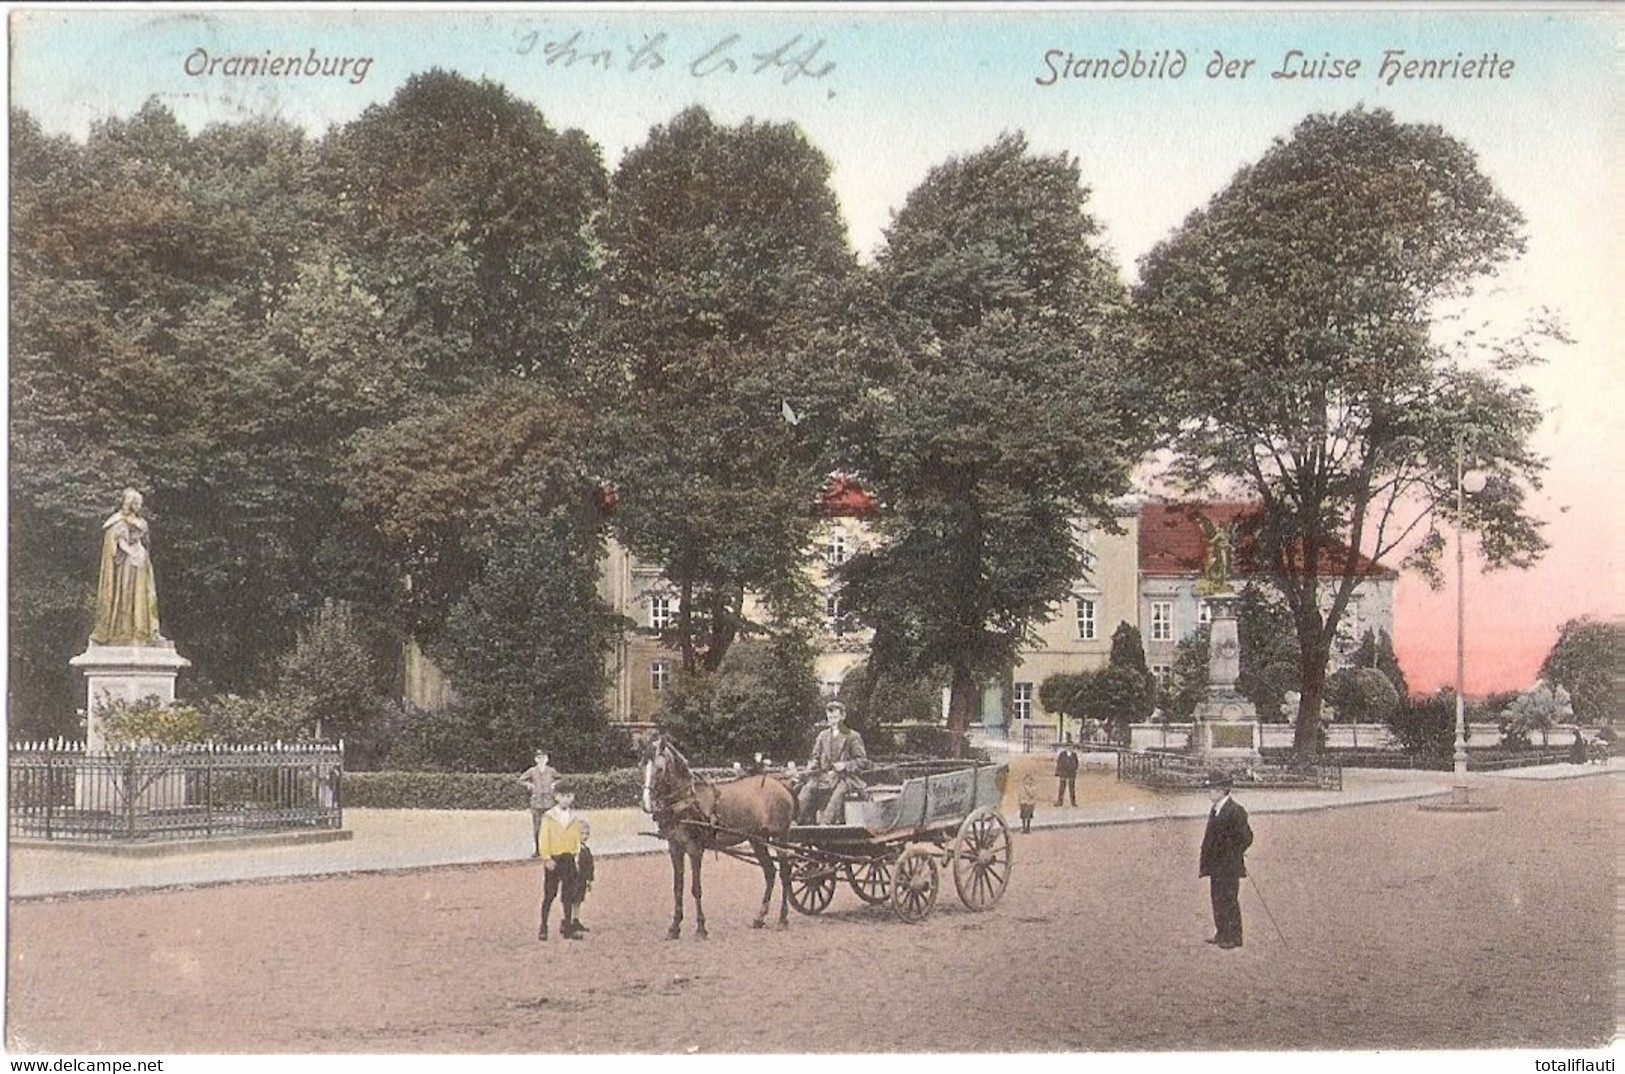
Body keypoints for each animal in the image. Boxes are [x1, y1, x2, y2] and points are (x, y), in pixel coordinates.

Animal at [646, 734, 799, 935]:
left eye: (660, 769)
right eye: (642, 765)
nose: (648, 802)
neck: (687, 800)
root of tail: (782, 784)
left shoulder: (695, 848)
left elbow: (696, 888)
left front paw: (701, 927)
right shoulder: (675, 847)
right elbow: (678, 887)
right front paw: (674, 927)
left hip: (780, 838)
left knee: (785, 874)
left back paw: (782, 918)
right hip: (757, 840)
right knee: (770, 872)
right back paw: (759, 918)